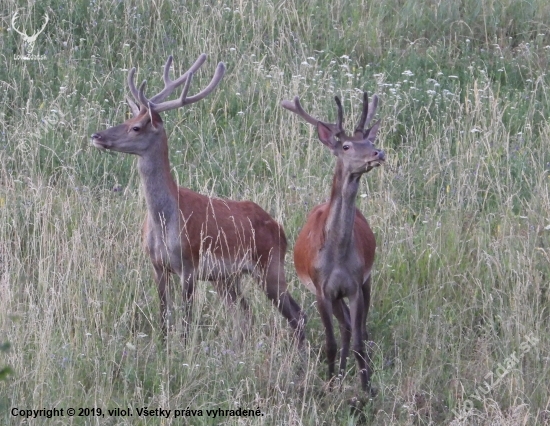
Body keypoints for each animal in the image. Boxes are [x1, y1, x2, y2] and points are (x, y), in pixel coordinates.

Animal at [91, 55, 306, 344]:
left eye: (136, 127)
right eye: (128, 117)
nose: (97, 136)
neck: (164, 220)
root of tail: (280, 229)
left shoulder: (189, 266)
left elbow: (185, 323)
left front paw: (181, 348)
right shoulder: (158, 266)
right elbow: (163, 317)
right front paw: (162, 345)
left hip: (270, 265)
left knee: (296, 314)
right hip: (228, 278)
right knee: (246, 315)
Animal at [282, 92, 386, 392]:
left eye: (370, 142)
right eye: (347, 146)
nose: (378, 152)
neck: (337, 256)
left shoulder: (354, 284)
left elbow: (360, 341)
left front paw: (367, 389)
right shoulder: (322, 289)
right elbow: (330, 342)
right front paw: (328, 385)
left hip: (366, 282)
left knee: (356, 328)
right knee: (345, 327)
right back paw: (338, 373)